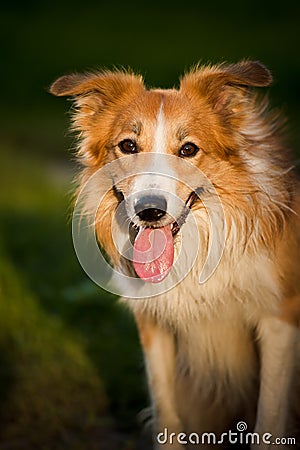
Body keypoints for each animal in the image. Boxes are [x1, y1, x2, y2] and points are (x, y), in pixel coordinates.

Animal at [50, 60, 298, 450]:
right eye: (128, 145)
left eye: (188, 149)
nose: (150, 211)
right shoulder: (155, 323)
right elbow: (166, 411)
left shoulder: (280, 319)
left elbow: (268, 421)